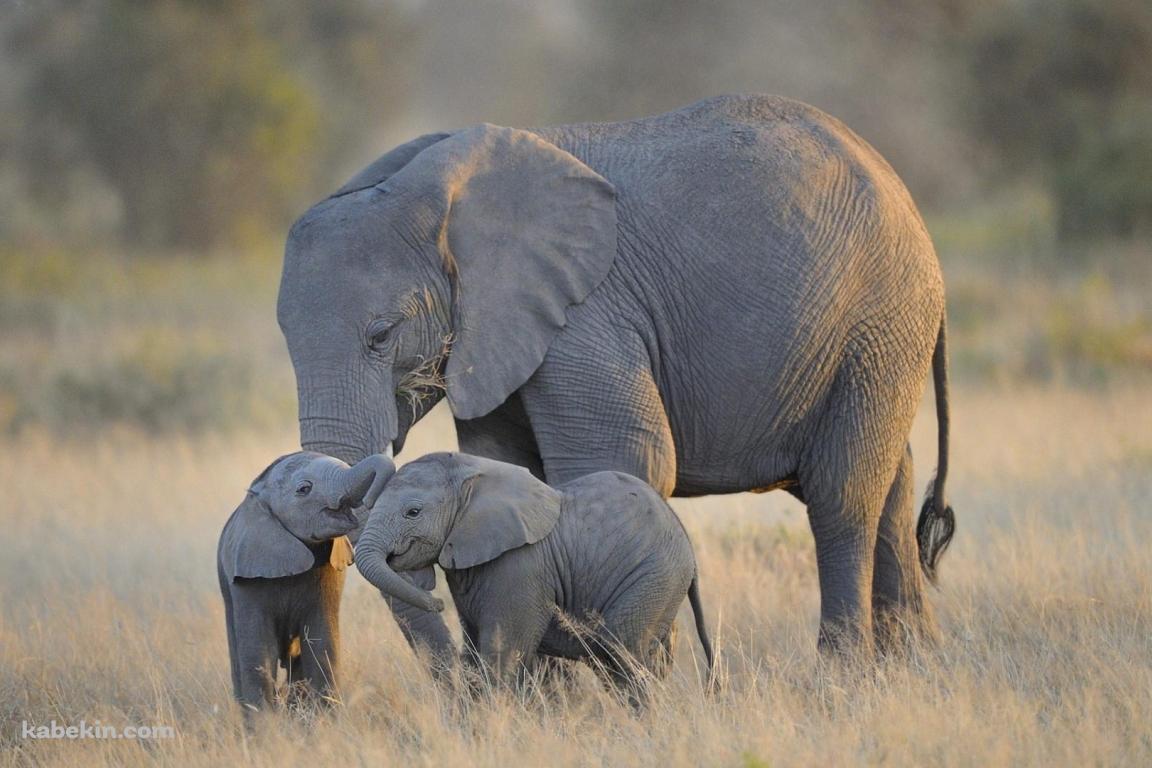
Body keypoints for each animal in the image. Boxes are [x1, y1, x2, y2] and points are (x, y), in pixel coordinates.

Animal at [217, 451, 395, 715]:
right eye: (304, 489)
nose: (371, 501)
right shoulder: (247, 579)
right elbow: (259, 654)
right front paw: (265, 726)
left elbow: (322, 646)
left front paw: (323, 721)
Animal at [277, 93, 956, 657]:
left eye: (381, 335)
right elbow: (508, 468)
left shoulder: (587, 314)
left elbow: (623, 459)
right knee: (890, 485)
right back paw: (911, 670)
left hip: (880, 320)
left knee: (842, 496)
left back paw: (842, 676)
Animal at [354, 452, 714, 702]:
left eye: (412, 513)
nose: (437, 602)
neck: (472, 473)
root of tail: (687, 545)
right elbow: (473, 653)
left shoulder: (520, 567)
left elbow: (501, 653)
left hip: (653, 576)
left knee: (619, 652)